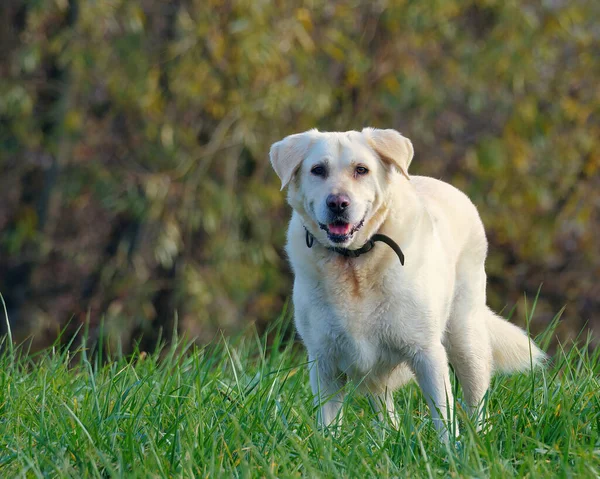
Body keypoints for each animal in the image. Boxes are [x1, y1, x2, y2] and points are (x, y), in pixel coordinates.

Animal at [270, 128, 548, 442]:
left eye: (361, 170)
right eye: (318, 170)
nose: (338, 203)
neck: (354, 263)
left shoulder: (426, 353)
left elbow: (444, 416)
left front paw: (450, 450)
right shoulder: (325, 363)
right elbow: (328, 427)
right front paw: (328, 449)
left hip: (465, 338)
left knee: (477, 400)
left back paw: (479, 440)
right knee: (385, 410)